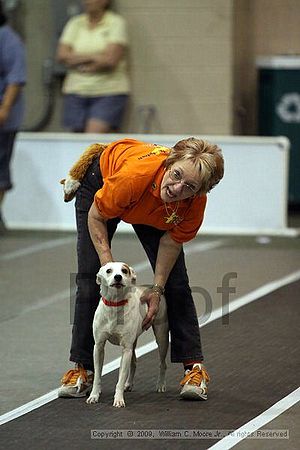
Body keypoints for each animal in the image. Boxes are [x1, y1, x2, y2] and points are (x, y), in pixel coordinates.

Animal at [85, 260, 169, 408]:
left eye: (124, 271)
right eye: (108, 270)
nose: (118, 277)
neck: (114, 305)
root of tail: (152, 288)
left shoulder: (126, 349)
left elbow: (120, 378)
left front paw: (118, 399)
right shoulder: (99, 346)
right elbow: (97, 377)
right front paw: (94, 395)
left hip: (161, 336)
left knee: (162, 363)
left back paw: (160, 385)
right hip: (133, 342)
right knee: (134, 362)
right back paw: (128, 384)